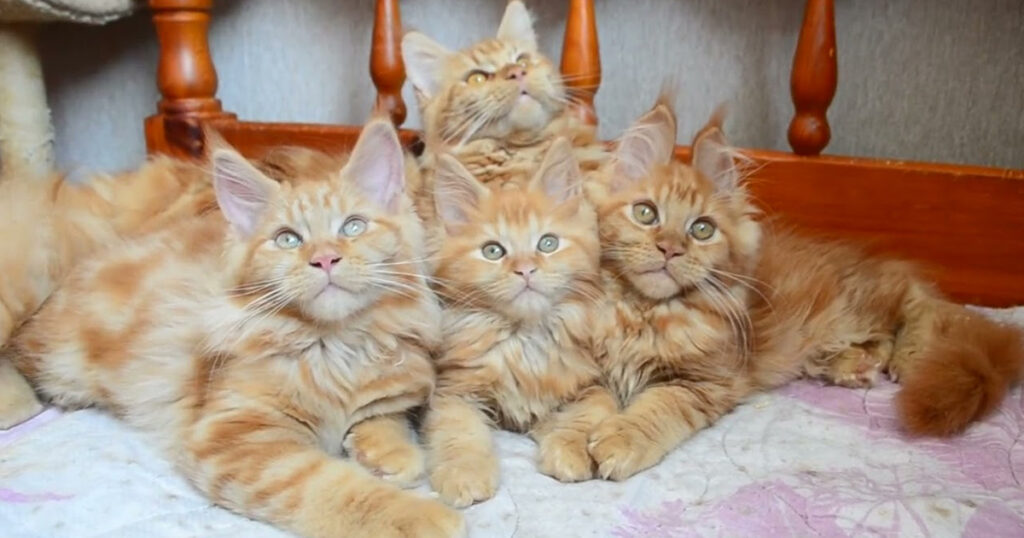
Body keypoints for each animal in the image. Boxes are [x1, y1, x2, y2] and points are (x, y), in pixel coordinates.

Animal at [419, 136, 610, 506]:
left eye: (548, 243)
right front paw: (465, 474)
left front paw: (567, 448)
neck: (524, 339)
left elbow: (589, 413)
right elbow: (459, 431)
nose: (525, 269)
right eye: (493, 251)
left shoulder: (593, 382)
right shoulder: (455, 390)